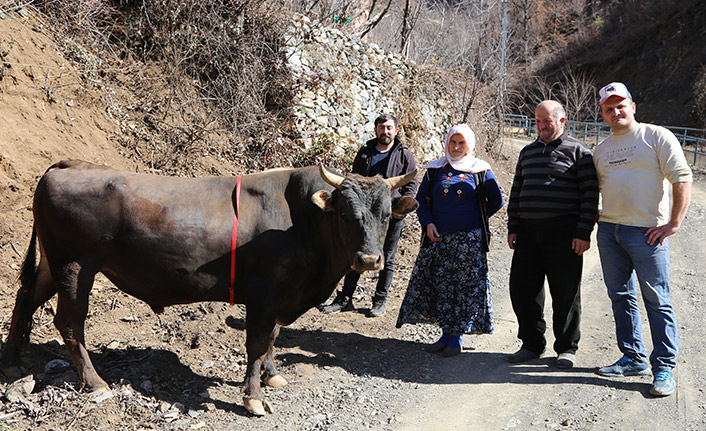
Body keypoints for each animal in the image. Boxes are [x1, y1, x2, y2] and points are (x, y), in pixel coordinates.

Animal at [0, 160, 416, 416]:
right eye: (345, 214)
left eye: (385, 215)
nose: (369, 260)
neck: (301, 222)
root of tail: (71, 165)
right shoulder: (264, 295)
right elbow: (257, 342)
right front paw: (253, 397)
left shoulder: (281, 296)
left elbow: (273, 338)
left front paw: (272, 374)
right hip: (75, 266)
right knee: (70, 323)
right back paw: (96, 382)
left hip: (53, 264)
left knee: (26, 298)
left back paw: (12, 358)